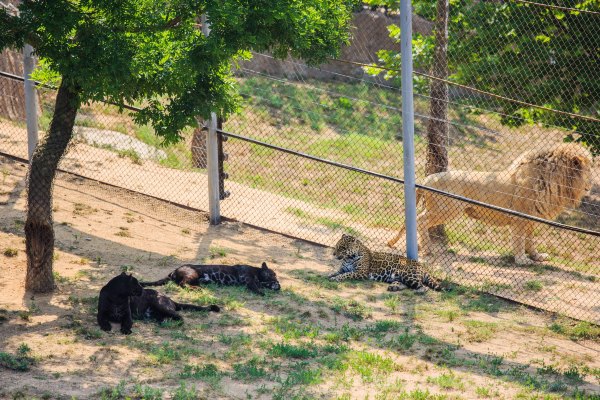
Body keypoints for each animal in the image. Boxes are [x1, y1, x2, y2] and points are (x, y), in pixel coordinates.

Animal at [386, 142, 592, 264]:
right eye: (589, 170)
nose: (590, 186)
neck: (556, 180)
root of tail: (427, 179)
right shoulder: (520, 217)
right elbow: (519, 239)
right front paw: (521, 260)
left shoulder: (532, 217)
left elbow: (530, 239)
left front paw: (536, 257)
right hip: (447, 210)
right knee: (420, 221)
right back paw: (427, 249)